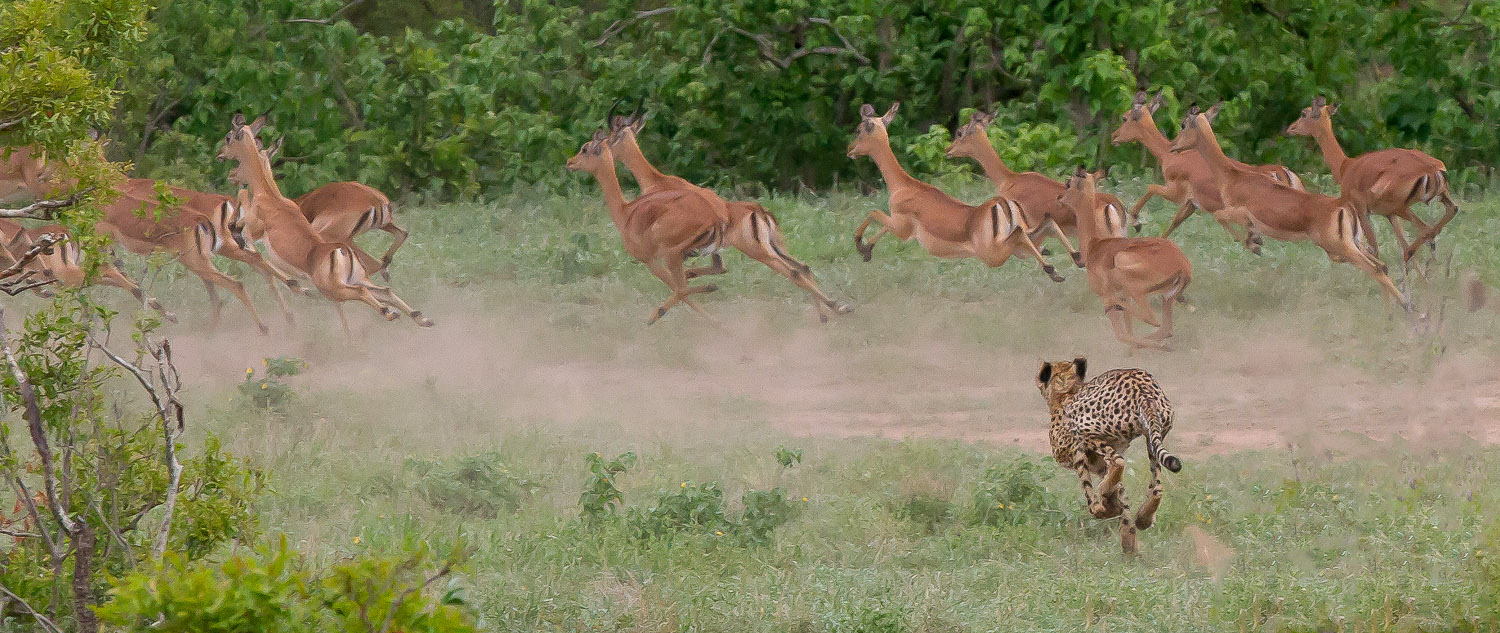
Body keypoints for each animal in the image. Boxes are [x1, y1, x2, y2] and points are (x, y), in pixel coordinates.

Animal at [1036, 356, 1181, 554]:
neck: (1067, 391)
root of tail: (1143, 390)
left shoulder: (1074, 451)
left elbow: (1090, 492)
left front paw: (1105, 508)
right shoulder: (1099, 464)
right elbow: (1122, 499)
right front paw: (1129, 542)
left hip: (1082, 428)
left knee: (1118, 461)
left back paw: (1106, 494)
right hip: (1153, 433)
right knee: (1156, 486)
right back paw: (1143, 518)